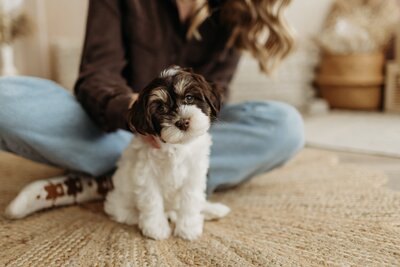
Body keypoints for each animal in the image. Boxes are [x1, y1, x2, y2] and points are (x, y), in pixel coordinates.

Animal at [104, 66, 230, 242]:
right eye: (161, 109)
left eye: (189, 98)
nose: (182, 122)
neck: (177, 146)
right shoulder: (146, 173)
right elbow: (152, 199)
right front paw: (156, 228)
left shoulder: (194, 173)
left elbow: (191, 199)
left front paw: (188, 228)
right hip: (120, 199)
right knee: (122, 211)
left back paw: (212, 209)